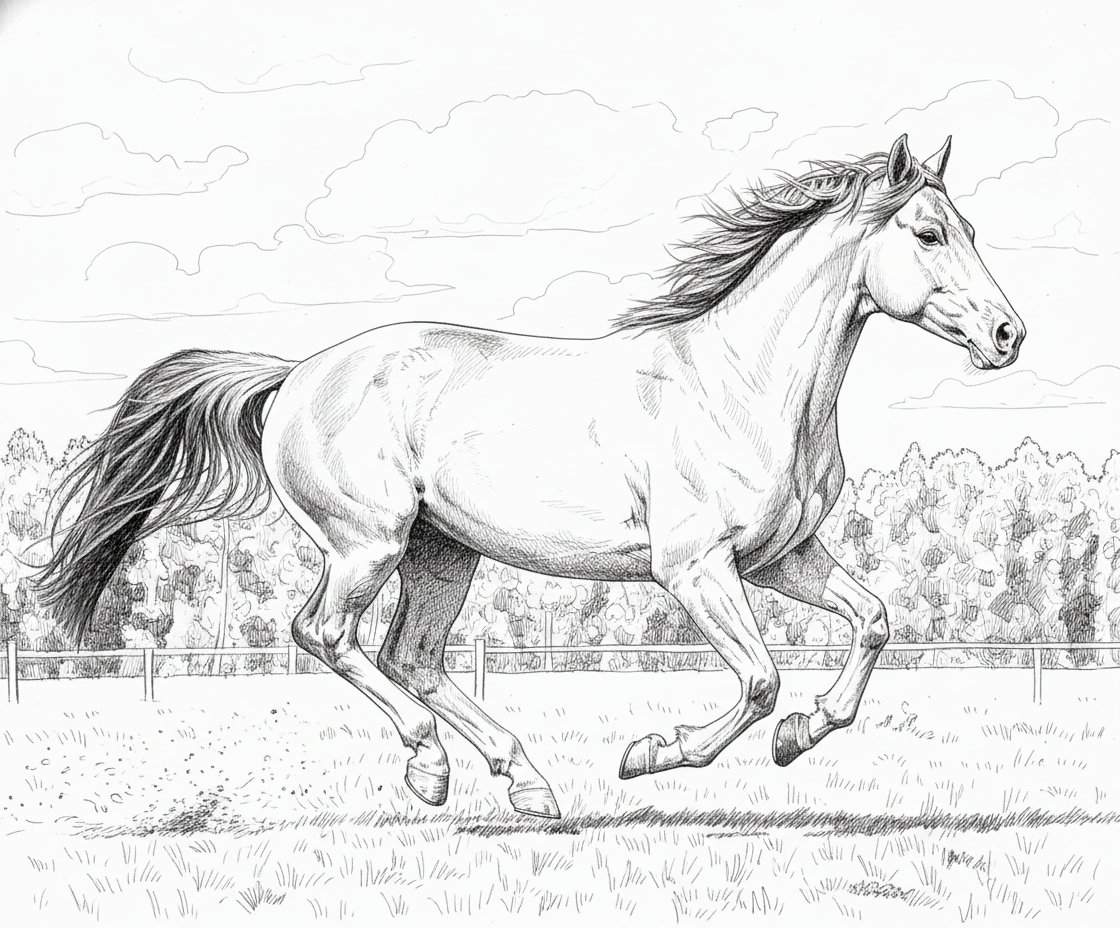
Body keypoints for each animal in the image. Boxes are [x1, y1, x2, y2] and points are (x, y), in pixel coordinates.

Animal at [36, 134, 1024, 820]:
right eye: (928, 232)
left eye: (974, 230)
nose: (1009, 335)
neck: (745, 384)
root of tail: (293, 376)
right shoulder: (695, 569)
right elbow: (758, 680)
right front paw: (652, 753)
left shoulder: (785, 558)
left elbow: (875, 622)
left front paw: (798, 738)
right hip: (368, 545)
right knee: (327, 634)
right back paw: (431, 766)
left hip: (443, 554)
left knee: (412, 657)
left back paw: (527, 785)